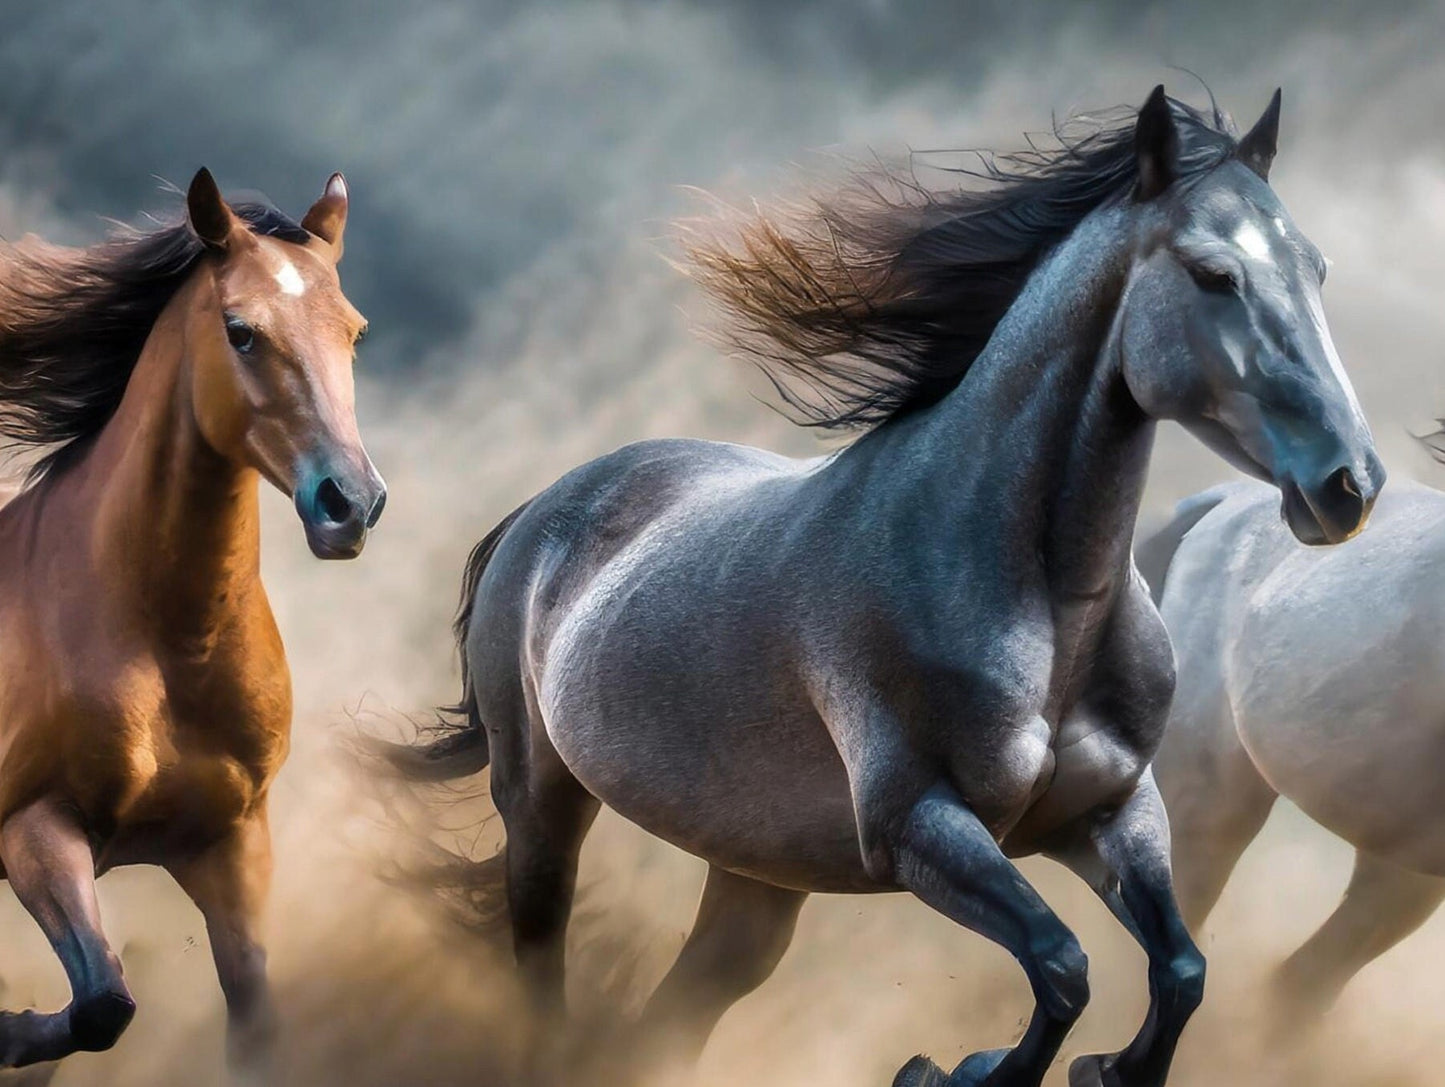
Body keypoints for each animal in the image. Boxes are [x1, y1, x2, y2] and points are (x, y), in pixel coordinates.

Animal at [0, 168, 384, 1072]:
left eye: (354, 331)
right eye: (240, 331)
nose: (350, 504)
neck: (168, 639)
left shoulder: (230, 842)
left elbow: (251, 1022)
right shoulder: (35, 825)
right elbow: (102, 1002)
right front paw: (11, 1031)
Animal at [386, 87, 1380, 1087]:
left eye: (1317, 269)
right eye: (1214, 275)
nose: (1349, 484)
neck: (1037, 603)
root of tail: (542, 508)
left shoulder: (1110, 810)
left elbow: (1178, 969)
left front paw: (1101, 1067)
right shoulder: (916, 826)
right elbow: (1061, 964)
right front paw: (959, 1069)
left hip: (754, 873)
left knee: (670, 1014)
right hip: (542, 802)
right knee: (543, 977)